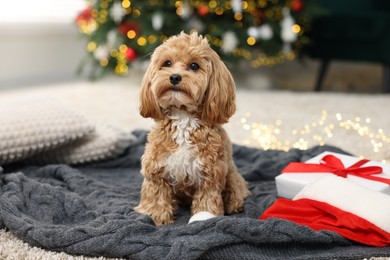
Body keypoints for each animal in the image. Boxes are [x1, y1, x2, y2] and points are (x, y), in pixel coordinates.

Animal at [134, 31, 250, 225]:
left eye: (194, 66)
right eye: (167, 63)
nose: (174, 77)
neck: (183, 117)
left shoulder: (210, 175)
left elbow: (207, 200)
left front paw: (204, 216)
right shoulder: (156, 171)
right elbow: (158, 197)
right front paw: (156, 217)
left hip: (231, 175)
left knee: (236, 190)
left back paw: (235, 205)